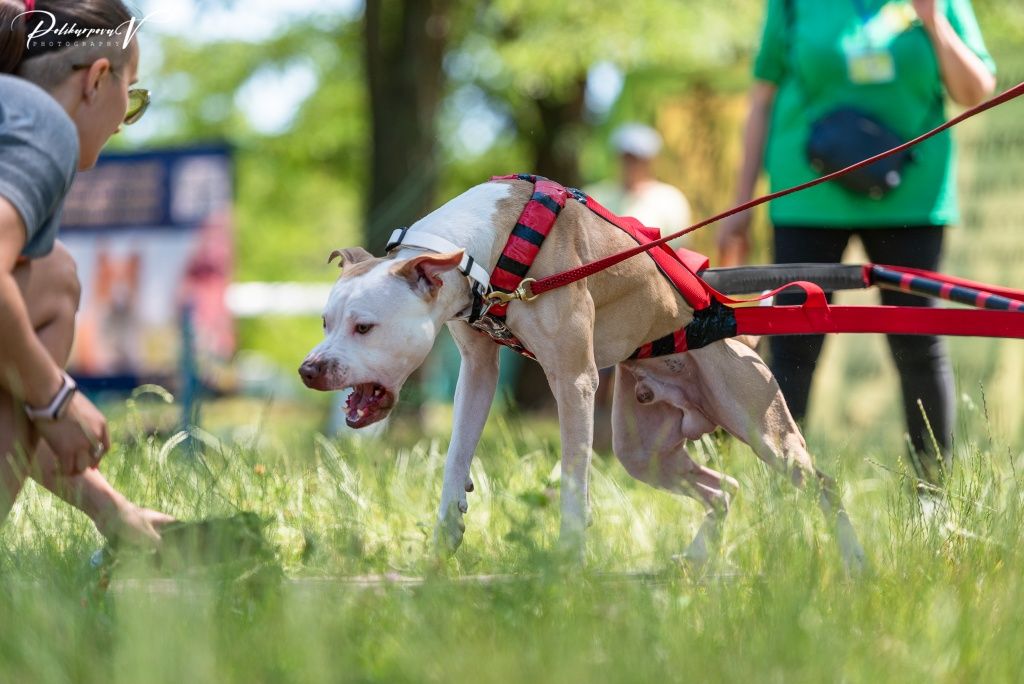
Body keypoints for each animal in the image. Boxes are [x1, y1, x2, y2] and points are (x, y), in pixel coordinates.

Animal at [299, 178, 868, 573]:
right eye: (325, 322)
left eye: (364, 326)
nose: (309, 369)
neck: (489, 248)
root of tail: (728, 321)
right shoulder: (478, 370)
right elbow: (456, 452)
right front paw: (443, 540)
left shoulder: (574, 380)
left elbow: (574, 479)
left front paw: (569, 561)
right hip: (644, 451)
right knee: (723, 489)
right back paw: (696, 559)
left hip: (764, 430)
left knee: (824, 485)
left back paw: (854, 563)